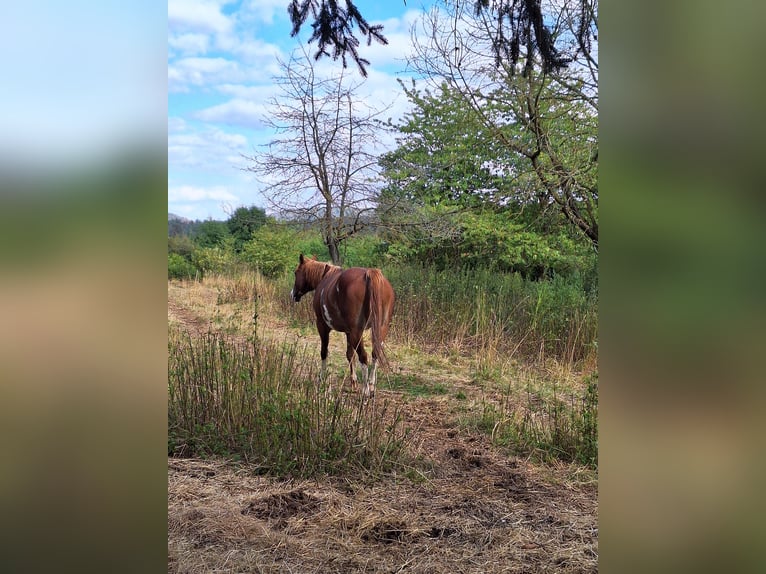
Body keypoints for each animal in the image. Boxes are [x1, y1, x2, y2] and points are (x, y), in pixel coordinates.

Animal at [290, 254, 395, 398]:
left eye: (296, 272)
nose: (293, 294)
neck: (325, 277)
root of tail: (369, 273)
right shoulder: (348, 332)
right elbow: (350, 354)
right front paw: (353, 382)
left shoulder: (322, 326)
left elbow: (324, 352)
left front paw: (322, 379)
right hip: (380, 329)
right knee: (375, 353)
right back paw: (371, 386)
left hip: (357, 332)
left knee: (363, 356)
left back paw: (366, 389)